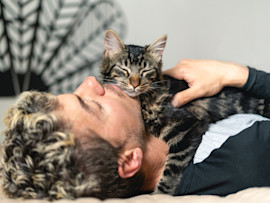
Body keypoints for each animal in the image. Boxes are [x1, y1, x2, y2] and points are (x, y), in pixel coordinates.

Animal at [99, 29, 270, 193]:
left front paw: (161, 194)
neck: (144, 101)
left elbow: (172, 169)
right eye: (124, 69)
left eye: (145, 71)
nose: (135, 84)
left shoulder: (185, 128)